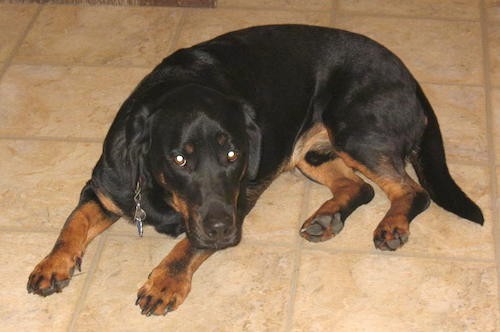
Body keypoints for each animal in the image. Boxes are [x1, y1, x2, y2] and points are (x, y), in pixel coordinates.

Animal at [28, 24, 484, 316]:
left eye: (233, 155)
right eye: (179, 159)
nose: (222, 230)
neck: (160, 194)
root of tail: (411, 79)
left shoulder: (237, 202)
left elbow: (188, 246)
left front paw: (165, 281)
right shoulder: (106, 187)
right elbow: (73, 222)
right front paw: (52, 264)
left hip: (354, 130)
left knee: (412, 190)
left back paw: (391, 225)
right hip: (307, 152)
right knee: (360, 188)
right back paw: (326, 218)